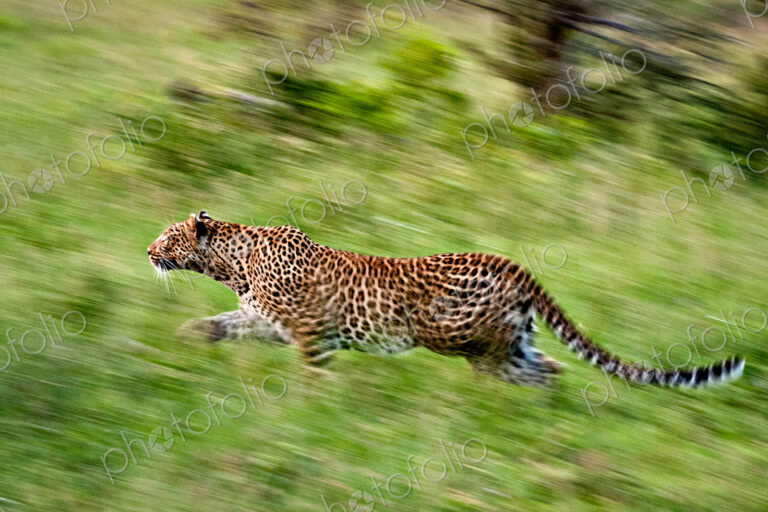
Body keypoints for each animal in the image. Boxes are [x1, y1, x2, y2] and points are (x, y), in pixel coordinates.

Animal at [147, 211, 745, 387]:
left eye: (169, 236)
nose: (148, 250)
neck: (232, 262)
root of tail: (515, 264)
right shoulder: (266, 322)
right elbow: (219, 323)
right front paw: (185, 339)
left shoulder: (310, 333)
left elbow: (314, 373)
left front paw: (312, 408)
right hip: (513, 339)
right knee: (548, 367)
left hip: (457, 337)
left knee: (520, 368)